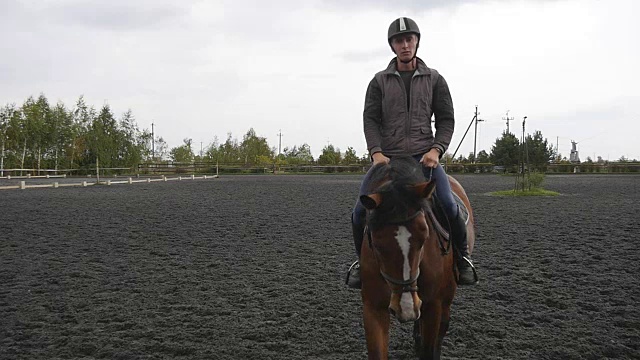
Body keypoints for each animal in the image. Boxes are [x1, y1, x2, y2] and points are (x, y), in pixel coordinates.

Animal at [360, 158, 476, 360]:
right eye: (377, 244)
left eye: (424, 237)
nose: (405, 307)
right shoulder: (372, 307)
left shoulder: (433, 305)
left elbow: (430, 349)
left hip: (446, 297)